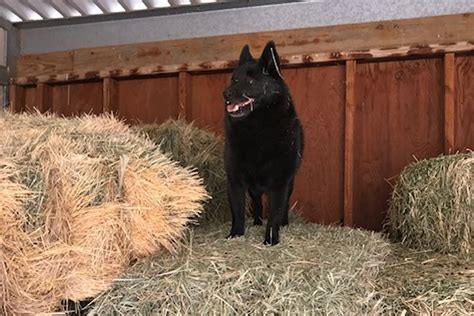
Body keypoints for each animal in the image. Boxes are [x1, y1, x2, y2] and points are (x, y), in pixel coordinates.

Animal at [222, 41, 304, 244]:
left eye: (250, 82)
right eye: (234, 79)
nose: (225, 94)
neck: (257, 130)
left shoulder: (280, 182)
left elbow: (275, 213)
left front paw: (271, 239)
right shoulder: (235, 180)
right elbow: (238, 211)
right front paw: (236, 234)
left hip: (290, 183)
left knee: (284, 206)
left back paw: (284, 223)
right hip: (254, 189)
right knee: (257, 204)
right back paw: (257, 222)